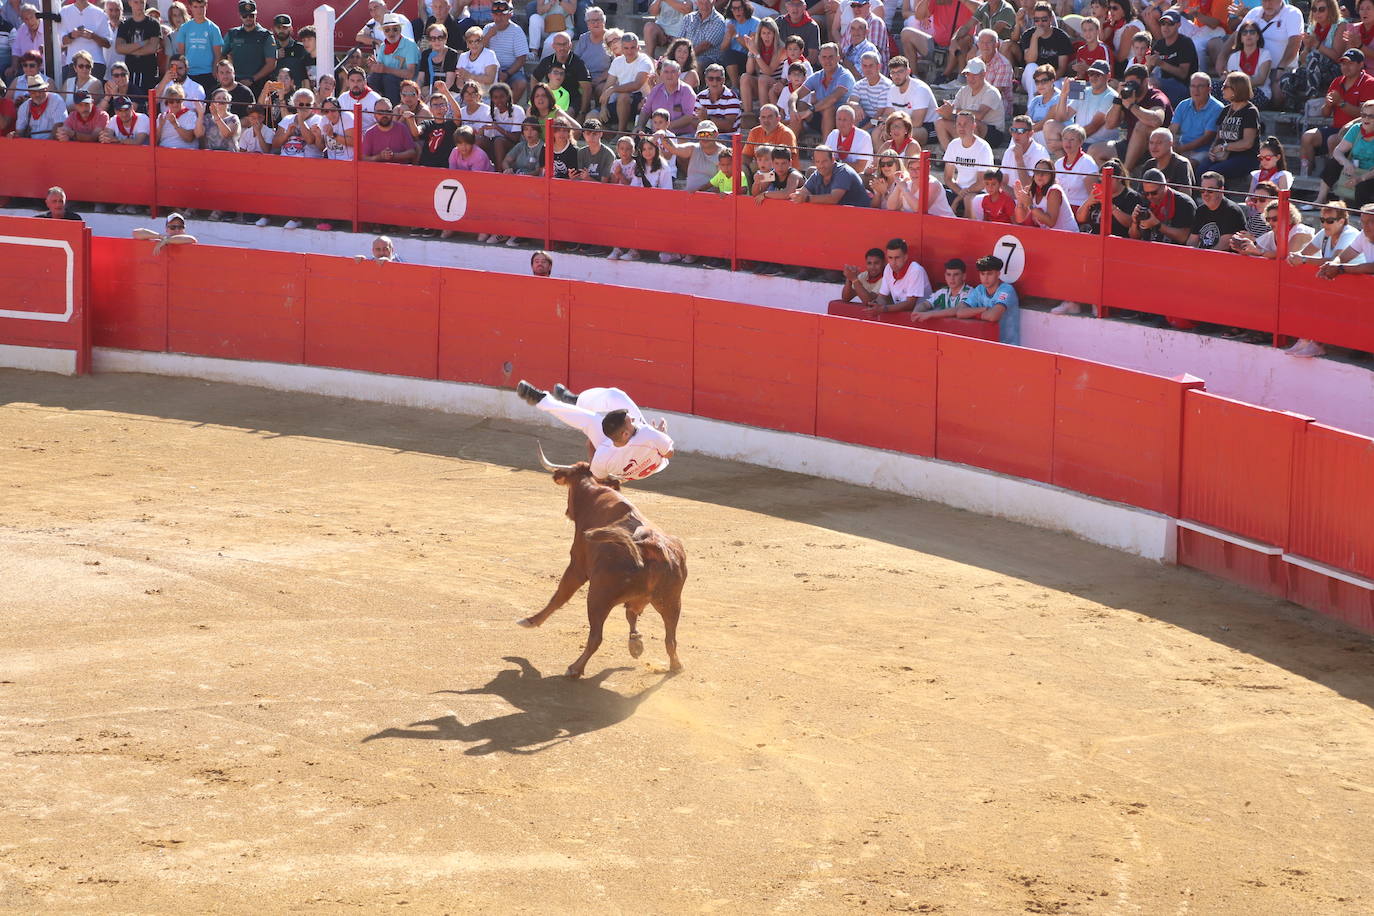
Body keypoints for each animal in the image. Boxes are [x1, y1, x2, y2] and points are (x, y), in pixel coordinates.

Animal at [516, 444, 687, 681]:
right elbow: (631, 615)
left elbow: (560, 596)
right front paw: (636, 643)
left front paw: (531, 621)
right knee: (670, 639)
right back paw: (674, 665)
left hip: (598, 597)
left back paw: (575, 668)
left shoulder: (577, 565)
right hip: (672, 601)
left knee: (596, 636)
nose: (567, 511)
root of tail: (651, 545)